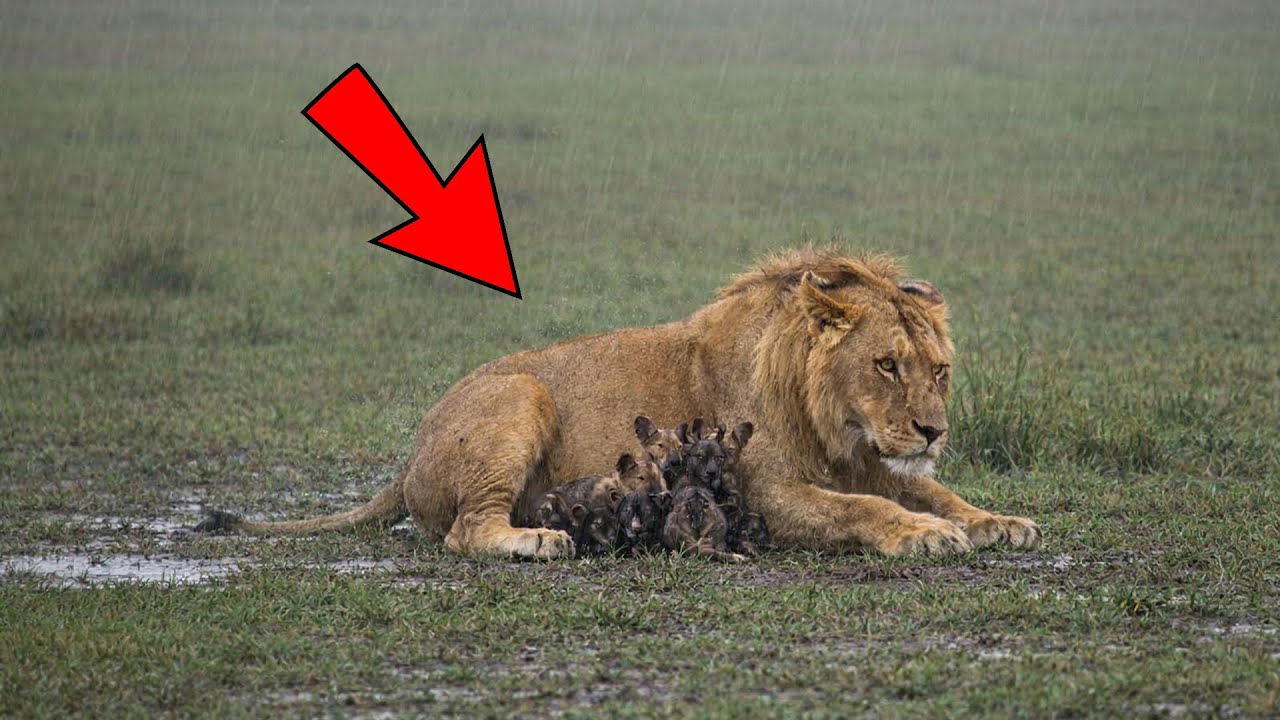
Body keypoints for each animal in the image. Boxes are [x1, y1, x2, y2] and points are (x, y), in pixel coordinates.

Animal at [199, 247, 1039, 558]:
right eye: (886, 365)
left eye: (940, 370)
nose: (932, 430)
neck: (838, 425)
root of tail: (409, 454)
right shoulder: (766, 492)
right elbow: (864, 509)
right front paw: (924, 535)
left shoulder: (874, 460)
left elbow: (934, 489)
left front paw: (997, 520)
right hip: (520, 393)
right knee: (466, 531)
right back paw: (536, 541)